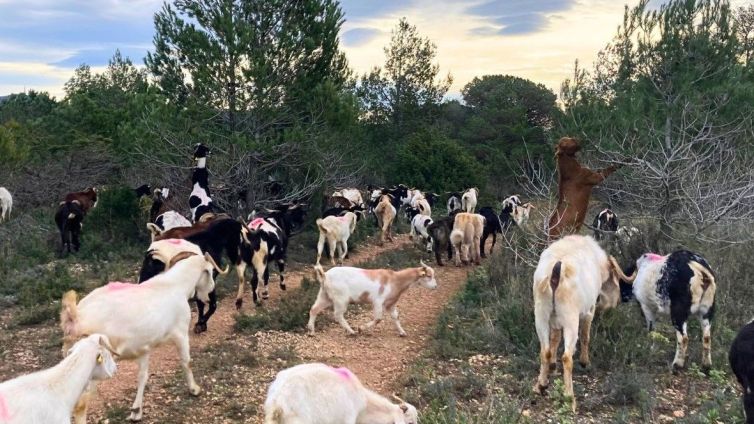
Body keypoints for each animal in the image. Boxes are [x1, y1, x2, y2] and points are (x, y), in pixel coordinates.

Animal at [59, 253, 225, 422]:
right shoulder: (181, 333)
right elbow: (186, 362)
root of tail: (75, 318)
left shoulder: (144, 348)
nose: (210, 292)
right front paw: (194, 389)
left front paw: (136, 411)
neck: (175, 285)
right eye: (211, 272)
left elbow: (142, 377)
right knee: (80, 405)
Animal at [306, 260, 434, 336]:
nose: (435, 286)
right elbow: (378, 319)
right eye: (429, 276)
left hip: (324, 296)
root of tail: (324, 276)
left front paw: (402, 332)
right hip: (340, 299)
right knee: (338, 315)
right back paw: (352, 331)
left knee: (314, 309)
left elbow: (395, 316)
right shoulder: (378, 301)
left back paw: (311, 331)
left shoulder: (390, 303)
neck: (395, 279)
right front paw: (361, 328)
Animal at [532, 234, 632, 412]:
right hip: (571, 319)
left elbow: (554, 339)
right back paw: (569, 398)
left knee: (545, 350)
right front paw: (585, 362)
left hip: (541, 316)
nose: (618, 300)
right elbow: (585, 336)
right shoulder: (588, 311)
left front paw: (552, 366)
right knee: (567, 357)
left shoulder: (555, 320)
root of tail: (554, 274)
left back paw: (541, 385)